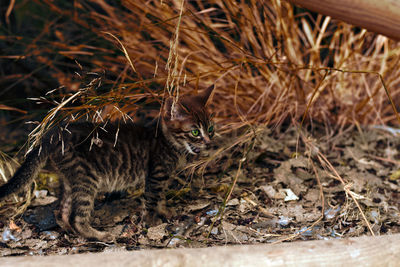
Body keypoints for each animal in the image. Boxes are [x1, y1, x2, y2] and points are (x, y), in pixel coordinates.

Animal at [0, 85, 216, 241]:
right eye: (195, 132)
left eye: (210, 128)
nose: (208, 142)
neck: (167, 142)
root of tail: (52, 133)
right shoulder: (156, 174)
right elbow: (152, 199)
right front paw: (153, 222)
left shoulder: (160, 178)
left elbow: (161, 196)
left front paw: (165, 211)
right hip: (87, 178)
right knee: (77, 217)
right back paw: (99, 235)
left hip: (71, 178)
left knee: (62, 212)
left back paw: (71, 232)